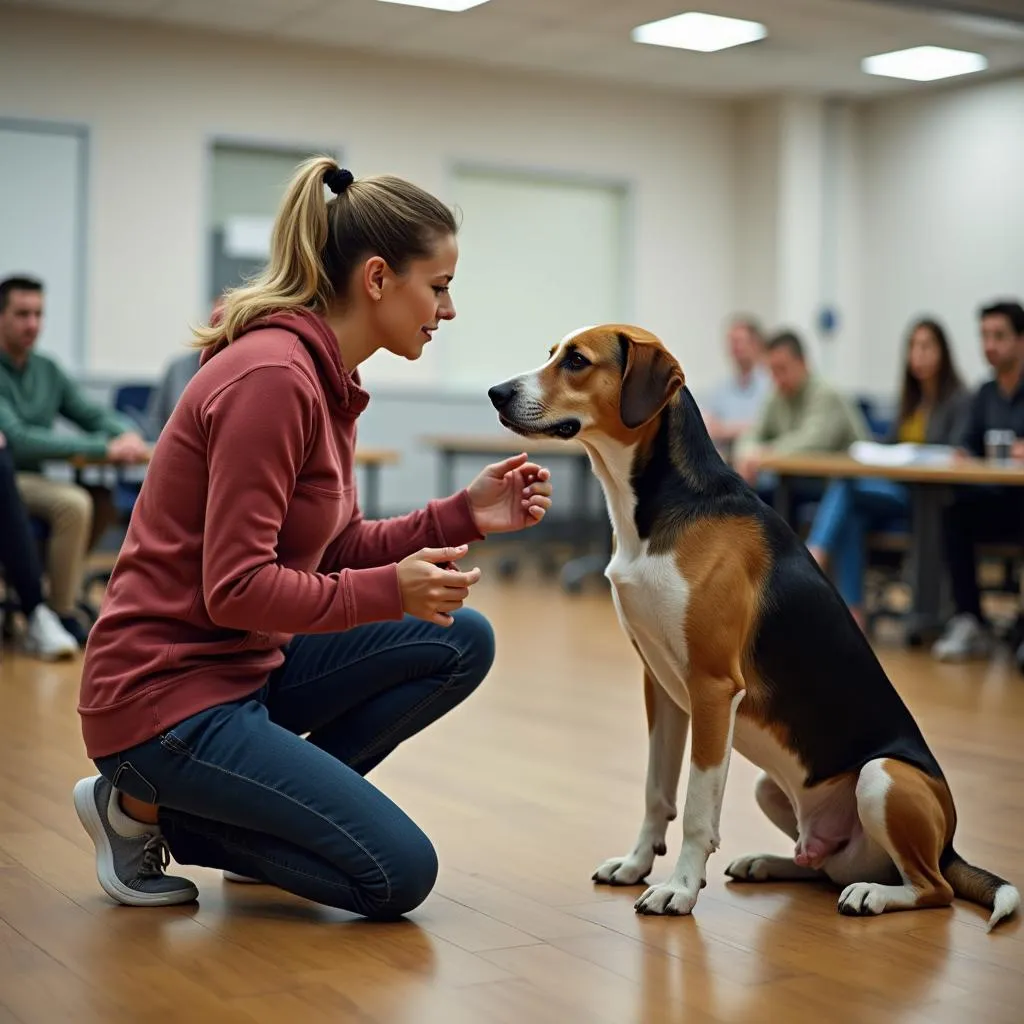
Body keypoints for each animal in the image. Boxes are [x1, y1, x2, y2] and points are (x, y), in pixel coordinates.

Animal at [491, 325, 1019, 929]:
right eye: (552, 353)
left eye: (577, 361)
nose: (496, 393)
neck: (653, 509)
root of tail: (950, 844)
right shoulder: (662, 686)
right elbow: (656, 791)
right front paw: (636, 864)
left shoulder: (712, 689)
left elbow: (697, 806)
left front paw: (679, 889)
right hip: (778, 792)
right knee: (820, 865)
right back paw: (768, 863)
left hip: (883, 776)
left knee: (933, 889)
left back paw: (874, 894)